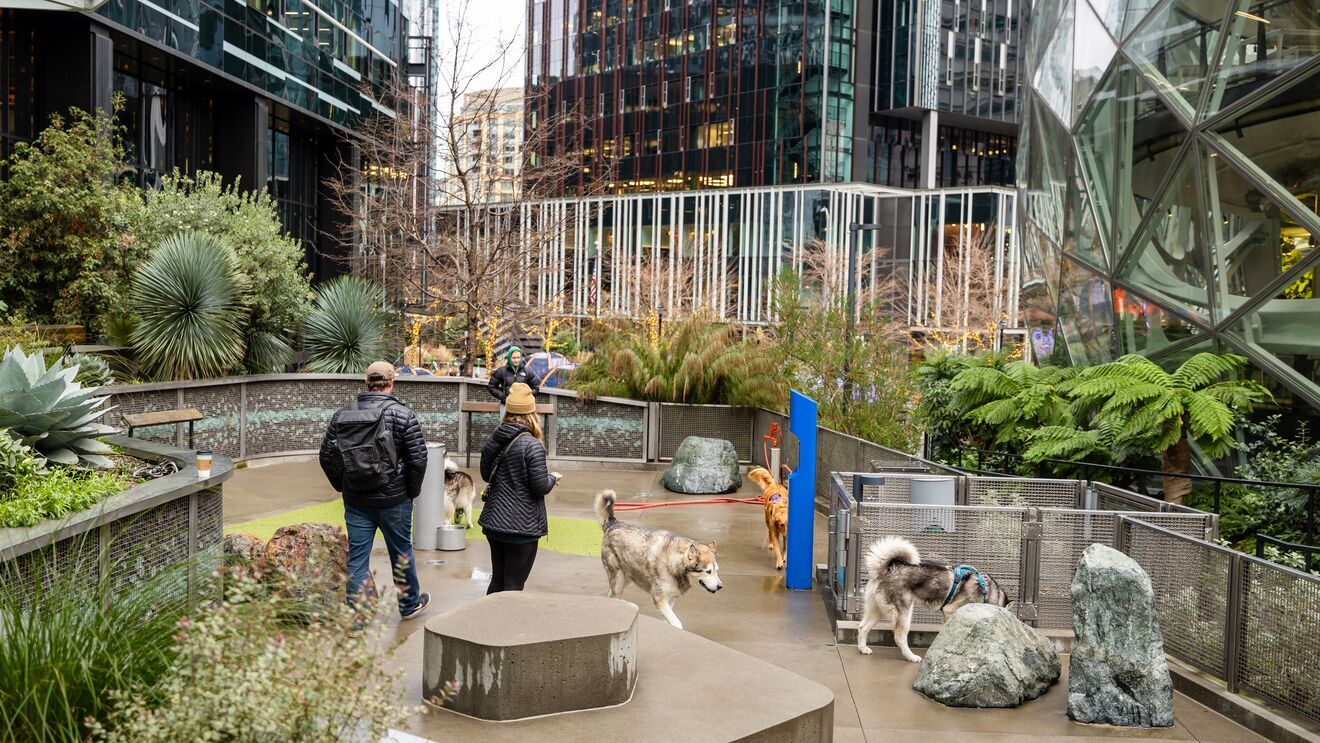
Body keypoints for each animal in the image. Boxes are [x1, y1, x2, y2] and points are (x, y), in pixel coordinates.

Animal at [596, 490, 723, 630]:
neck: (674, 565)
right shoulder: (659, 599)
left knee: (610, 596)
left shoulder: (670, 599)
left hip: (626, 578)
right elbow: (677, 623)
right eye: (708, 571)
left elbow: (668, 621)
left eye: (716, 571)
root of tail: (613, 523)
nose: (720, 586)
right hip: (619, 579)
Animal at [855, 535, 1008, 662]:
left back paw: (863, 649)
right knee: (899, 637)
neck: (986, 592)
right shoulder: (950, 611)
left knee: (862, 627)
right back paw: (911, 657)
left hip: (878, 610)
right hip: (904, 612)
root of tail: (887, 569)